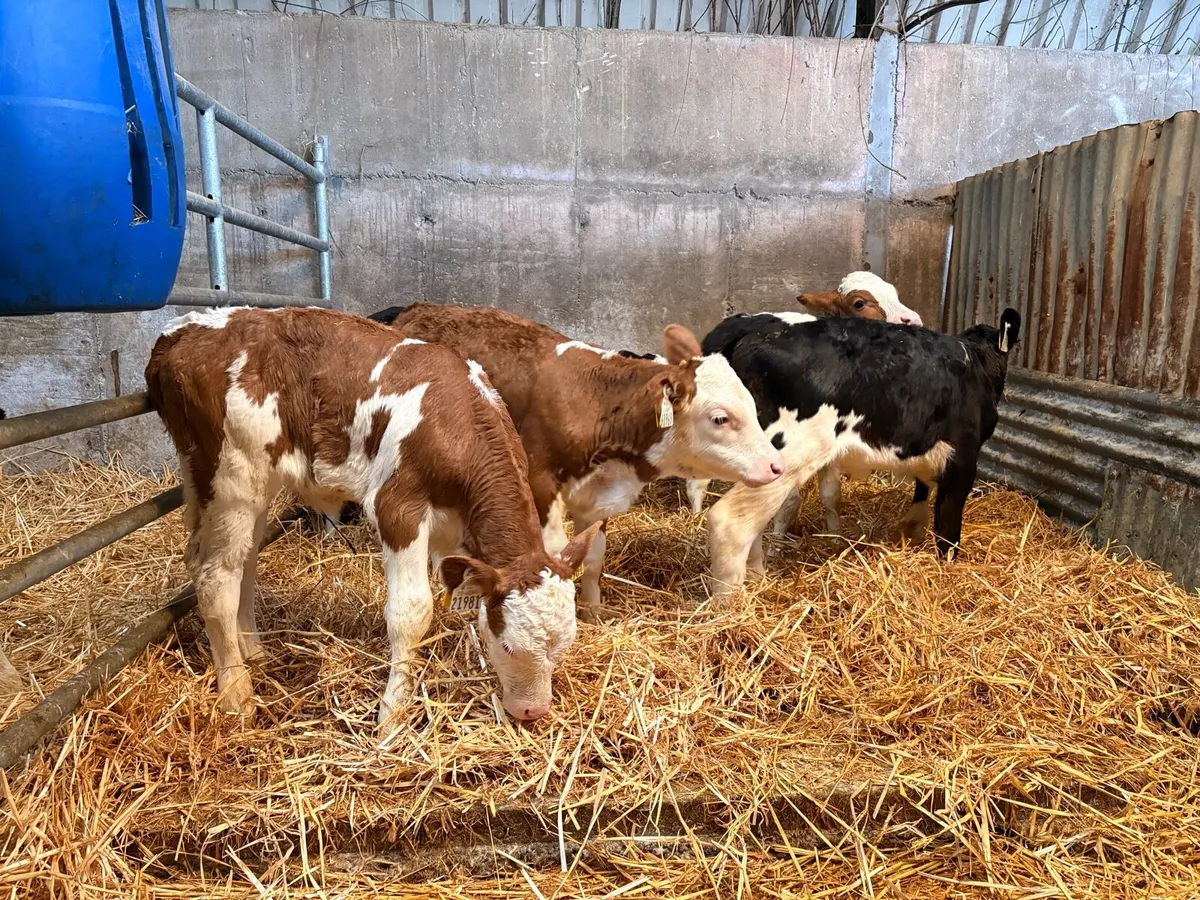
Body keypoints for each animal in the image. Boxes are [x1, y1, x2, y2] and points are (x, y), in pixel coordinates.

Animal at [145, 306, 600, 727]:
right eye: (508, 646)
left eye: (564, 646)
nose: (532, 711)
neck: (459, 424)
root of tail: (180, 331)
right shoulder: (397, 507)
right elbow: (411, 612)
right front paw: (392, 713)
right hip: (231, 474)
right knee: (215, 574)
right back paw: (237, 695)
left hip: (246, 481)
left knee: (241, 561)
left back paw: (254, 651)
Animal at [362, 304, 785, 623]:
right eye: (720, 418)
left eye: (752, 403)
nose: (776, 466)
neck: (594, 402)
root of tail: (415, 309)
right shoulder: (539, 484)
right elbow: (555, 550)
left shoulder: (599, 499)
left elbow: (593, 559)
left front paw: (593, 611)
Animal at [705, 309, 1021, 595]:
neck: (976, 363)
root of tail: (752, 323)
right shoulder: (963, 457)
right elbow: (948, 524)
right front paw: (947, 567)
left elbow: (921, 490)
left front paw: (911, 530)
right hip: (786, 455)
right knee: (731, 521)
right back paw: (732, 602)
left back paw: (756, 576)